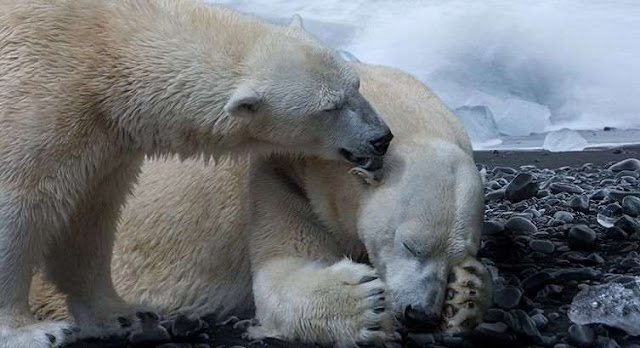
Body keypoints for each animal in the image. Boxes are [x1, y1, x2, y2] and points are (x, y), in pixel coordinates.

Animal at [0, 1, 390, 346]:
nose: (381, 137)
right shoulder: (39, 102)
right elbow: (18, 208)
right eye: (330, 107)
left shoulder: (105, 142)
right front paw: (31, 332)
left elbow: (89, 219)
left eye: (355, 86)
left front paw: (123, 316)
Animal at [30, 63, 492, 348]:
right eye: (409, 245)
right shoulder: (278, 175)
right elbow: (282, 271)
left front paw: (466, 293)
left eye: (459, 254)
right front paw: (366, 306)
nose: (418, 313)